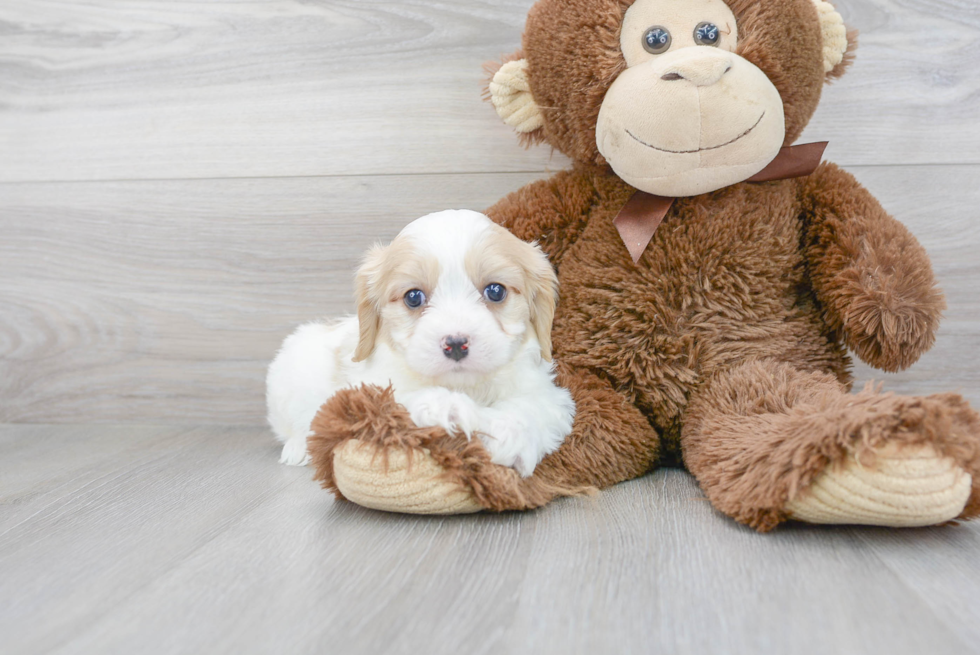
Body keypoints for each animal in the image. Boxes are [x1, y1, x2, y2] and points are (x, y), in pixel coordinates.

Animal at [264, 210, 580, 476]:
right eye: (413, 297)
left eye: (495, 291)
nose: (456, 344)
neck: (465, 386)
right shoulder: (366, 393)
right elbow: (399, 398)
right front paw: (448, 409)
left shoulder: (547, 394)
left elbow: (530, 407)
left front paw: (509, 438)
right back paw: (297, 448)